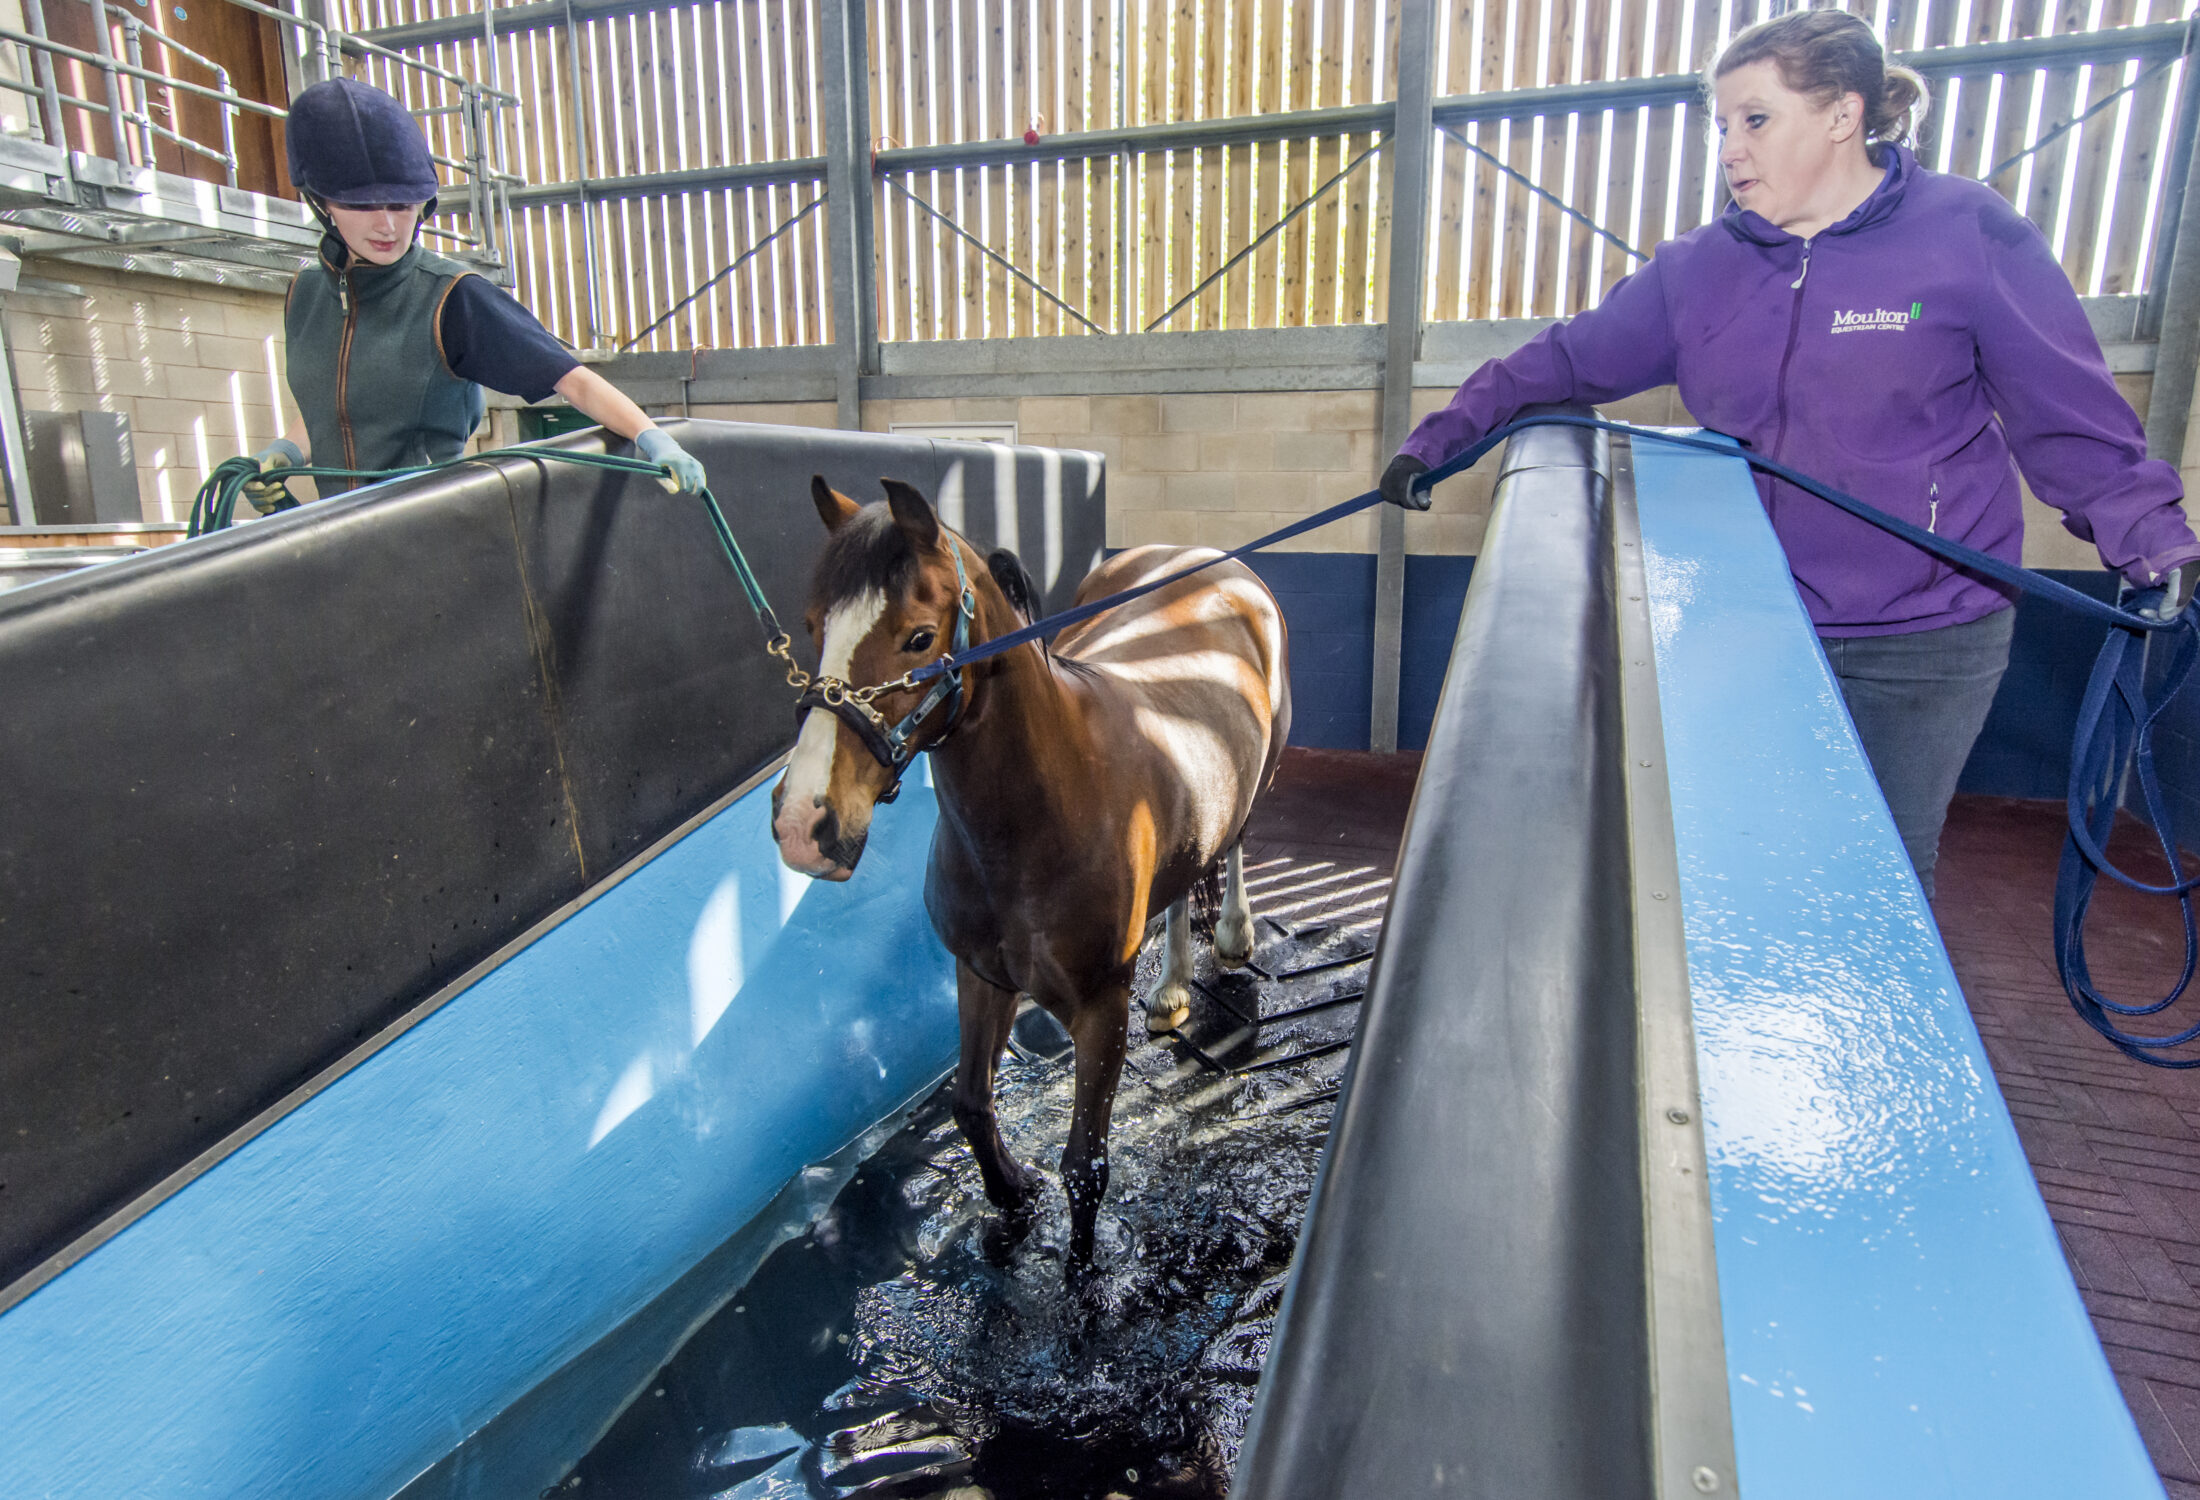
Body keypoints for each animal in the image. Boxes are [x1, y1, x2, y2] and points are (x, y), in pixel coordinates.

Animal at [774, 475, 1284, 1258]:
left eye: (918, 638)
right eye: (814, 627)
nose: (803, 823)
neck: (1039, 819)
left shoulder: (1101, 1008)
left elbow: (1086, 1167)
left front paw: (1080, 1275)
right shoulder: (981, 975)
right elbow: (970, 1105)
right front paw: (1013, 1194)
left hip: (1263, 770)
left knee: (1233, 843)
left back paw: (1232, 935)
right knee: (1181, 882)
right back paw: (1171, 987)